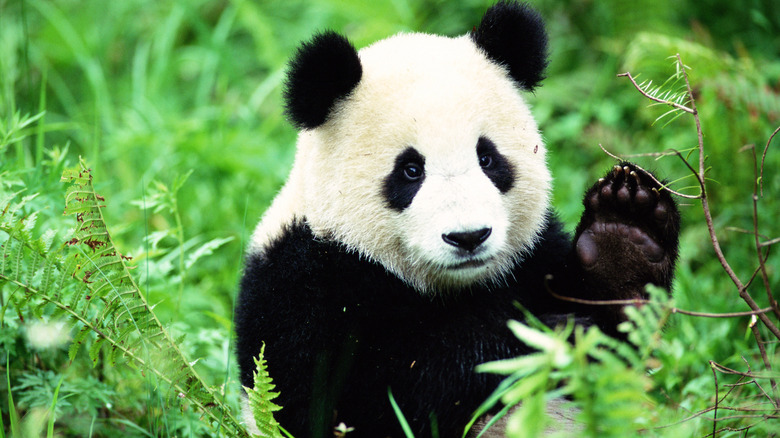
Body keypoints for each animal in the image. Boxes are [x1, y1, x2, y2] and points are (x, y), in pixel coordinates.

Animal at [235, 1, 680, 436]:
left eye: (488, 159)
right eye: (410, 170)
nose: (469, 237)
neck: (450, 287)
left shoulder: (534, 256)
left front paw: (623, 237)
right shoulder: (301, 285)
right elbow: (362, 397)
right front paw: (545, 339)